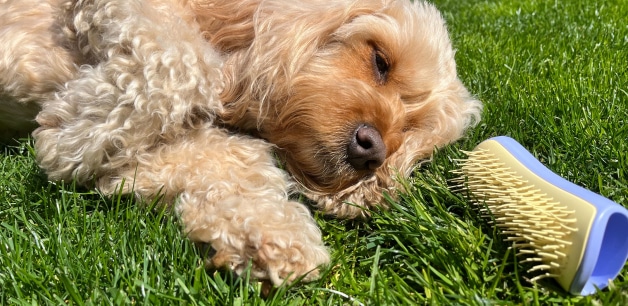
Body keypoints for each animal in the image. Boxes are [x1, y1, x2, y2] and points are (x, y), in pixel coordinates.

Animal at [0, 0, 480, 286]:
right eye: (381, 60)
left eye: (408, 129)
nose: (373, 150)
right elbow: (182, 60)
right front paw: (79, 127)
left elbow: (231, 164)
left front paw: (273, 236)